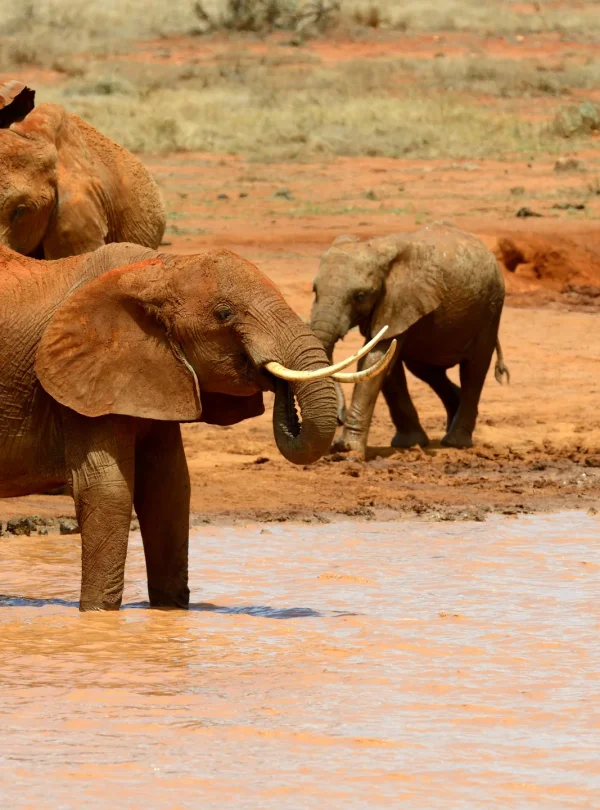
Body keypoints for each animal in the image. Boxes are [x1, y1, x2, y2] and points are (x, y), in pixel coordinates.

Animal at [0, 241, 392, 611]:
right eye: (224, 314)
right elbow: (108, 491)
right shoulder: (84, 382)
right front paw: (98, 617)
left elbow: (169, 488)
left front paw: (169, 612)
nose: (276, 382)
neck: (154, 271)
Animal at [310, 223, 509, 458]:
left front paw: (347, 450)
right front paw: (409, 444)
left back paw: (456, 442)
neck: (377, 248)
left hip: (491, 307)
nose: (338, 417)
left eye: (360, 296)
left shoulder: (400, 300)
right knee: (426, 370)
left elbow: (375, 360)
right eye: (315, 290)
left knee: (474, 370)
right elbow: (385, 365)